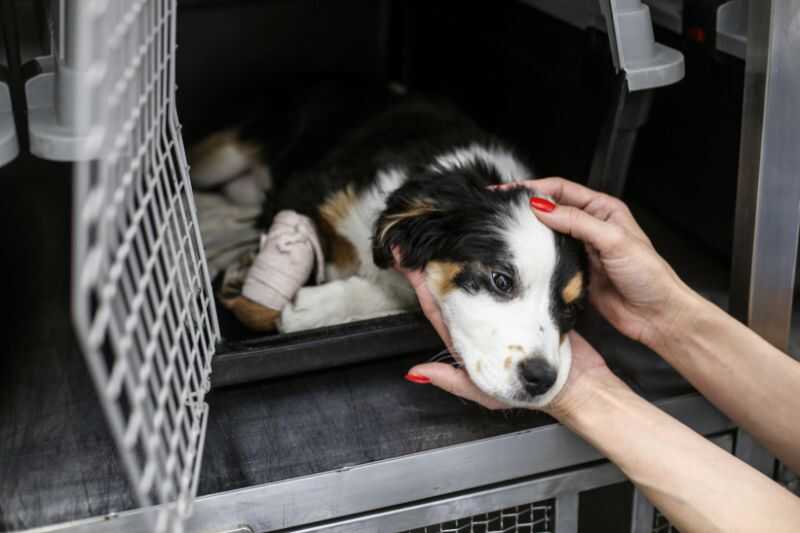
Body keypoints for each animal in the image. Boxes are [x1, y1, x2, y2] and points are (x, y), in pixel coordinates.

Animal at [189, 82, 588, 408]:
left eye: (570, 309)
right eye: (501, 280)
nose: (541, 380)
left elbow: (397, 290)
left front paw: (313, 307)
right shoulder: (299, 192)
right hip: (225, 156)